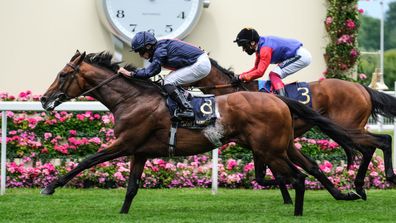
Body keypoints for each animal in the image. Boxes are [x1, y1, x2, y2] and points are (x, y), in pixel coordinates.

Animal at [40, 51, 366, 216]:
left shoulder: (124, 143)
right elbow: (131, 187)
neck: (132, 99)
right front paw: (122, 213)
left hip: (269, 149)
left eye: (63, 74)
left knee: (298, 177)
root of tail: (279, 100)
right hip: (279, 146)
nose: (44, 99)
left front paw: (50, 186)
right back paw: (345, 193)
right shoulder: (140, 151)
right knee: (307, 169)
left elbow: (86, 161)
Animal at [193, 58, 394, 200]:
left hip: (347, 127)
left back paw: (386, 177)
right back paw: (361, 187)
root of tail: (362, 87)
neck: (232, 95)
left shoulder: (265, 143)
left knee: (382, 140)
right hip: (343, 130)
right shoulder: (268, 144)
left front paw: (289, 196)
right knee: (370, 148)